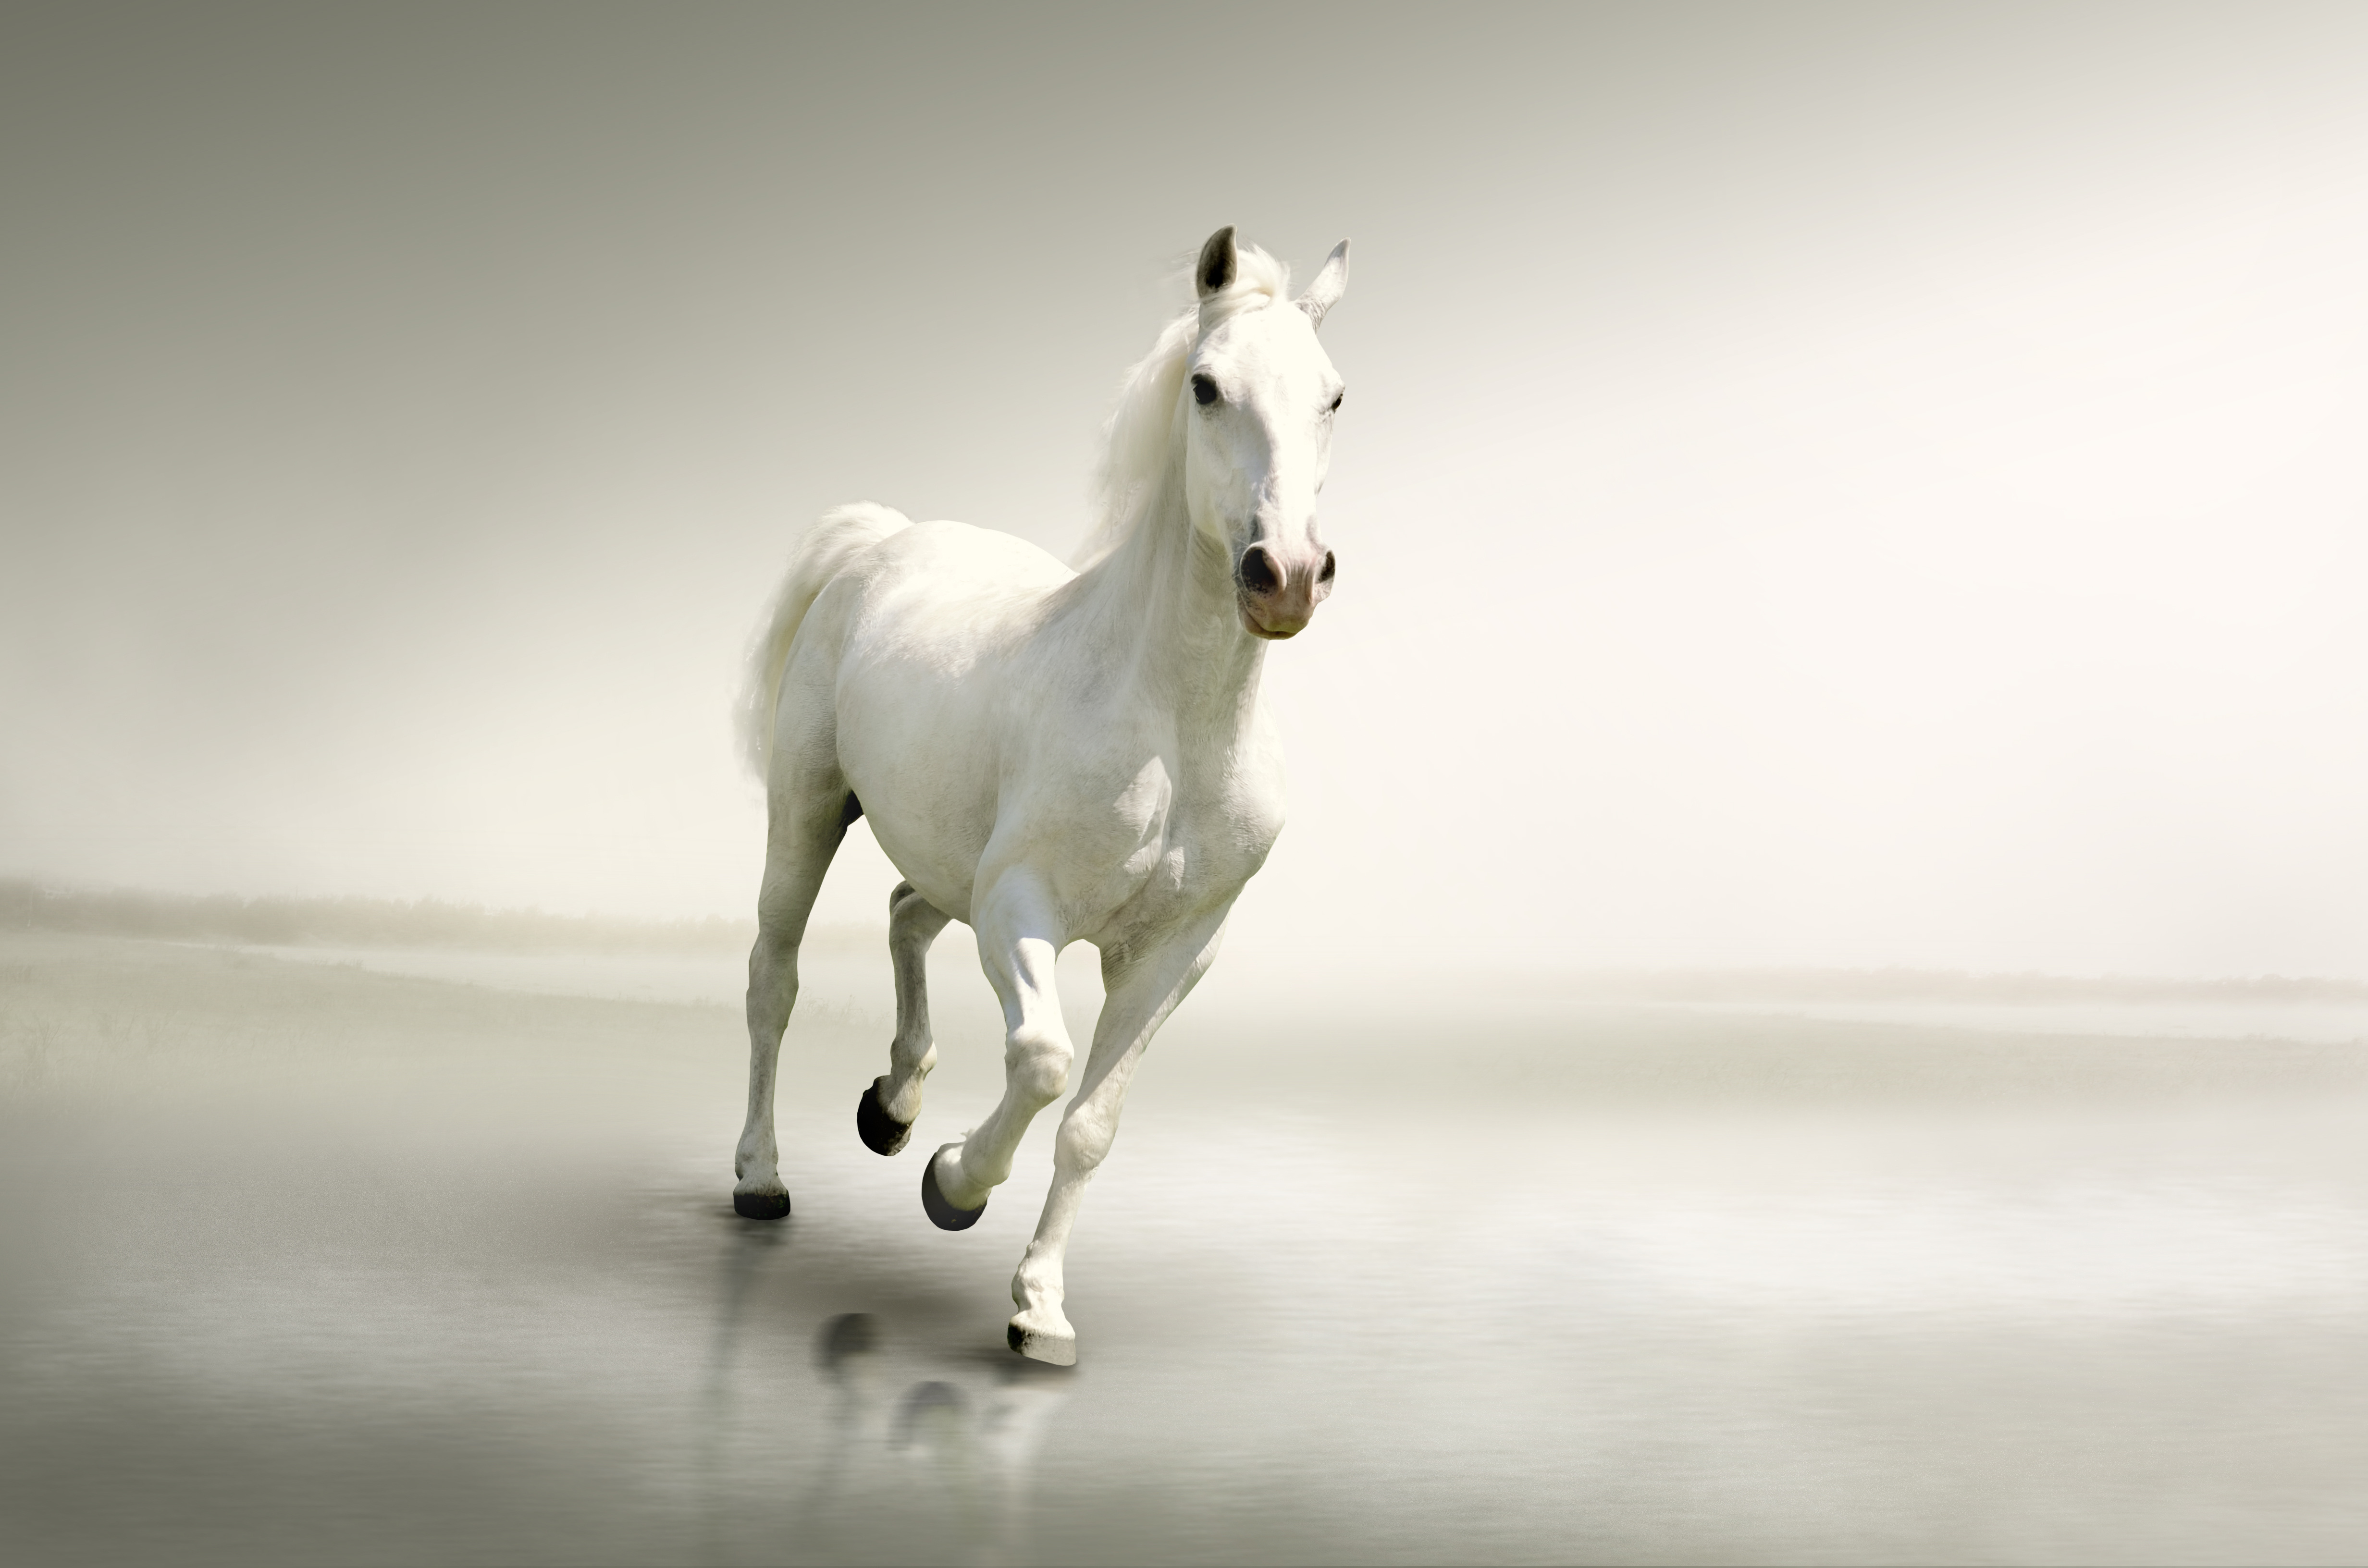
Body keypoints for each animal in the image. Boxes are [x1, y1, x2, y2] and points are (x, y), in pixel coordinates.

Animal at [732, 226, 1351, 1365]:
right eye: (1205, 386)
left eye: (1332, 394)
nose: (1284, 574)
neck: (1172, 727)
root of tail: (883, 540)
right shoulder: (1020, 909)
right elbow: (1044, 1061)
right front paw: (952, 1185)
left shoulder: (1174, 953)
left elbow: (1093, 1124)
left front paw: (1040, 1311)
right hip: (807, 811)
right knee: (773, 978)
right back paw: (762, 1176)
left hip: (946, 857)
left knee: (904, 911)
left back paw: (892, 1105)